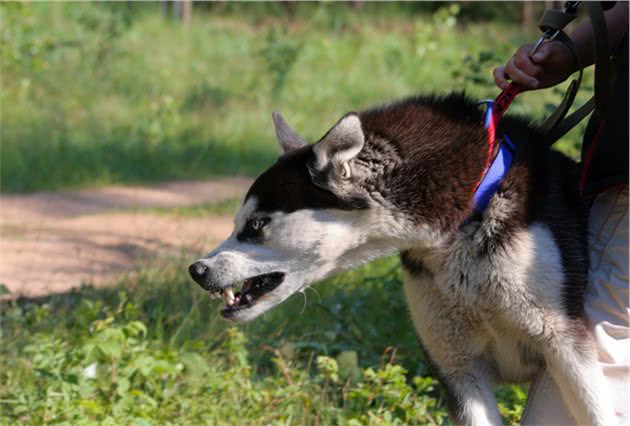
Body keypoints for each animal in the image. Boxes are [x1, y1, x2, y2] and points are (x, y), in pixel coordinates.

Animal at [190, 94, 616, 426]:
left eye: (256, 224)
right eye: (237, 223)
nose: (196, 270)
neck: (463, 223)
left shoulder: (567, 348)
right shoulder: (458, 369)